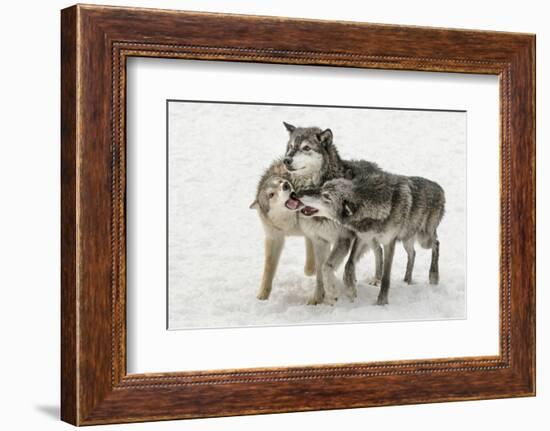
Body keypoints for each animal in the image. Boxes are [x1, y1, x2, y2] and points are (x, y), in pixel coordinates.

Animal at [296, 163, 446, 308]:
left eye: (326, 196)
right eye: (322, 186)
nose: (297, 194)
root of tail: (440, 188)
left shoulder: (389, 243)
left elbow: (386, 277)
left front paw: (381, 302)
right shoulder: (362, 237)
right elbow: (349, 264)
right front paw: (350, 290)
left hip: (423, 239)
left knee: (436, 243)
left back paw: (433, 276)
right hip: (404, 239)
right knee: (411, 253)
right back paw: (407, 280)